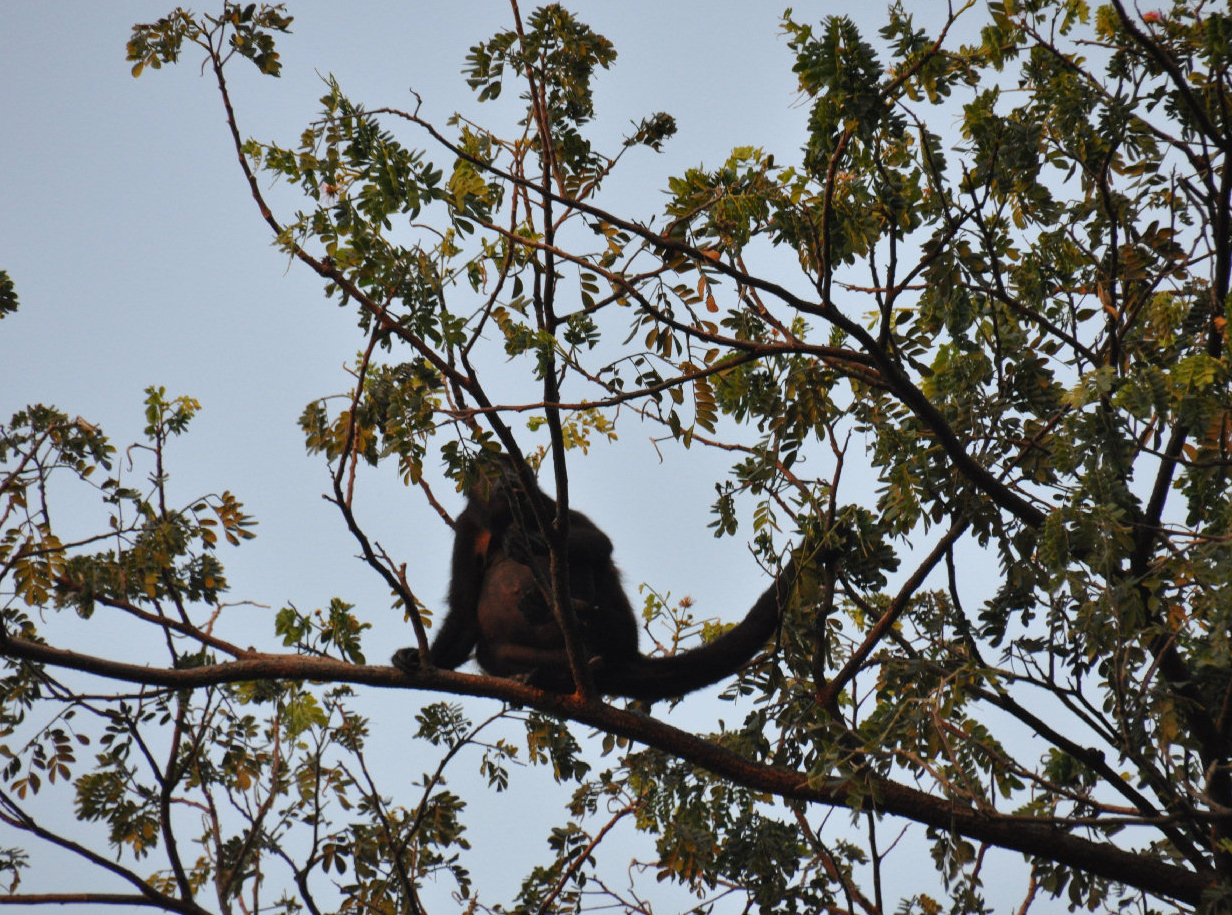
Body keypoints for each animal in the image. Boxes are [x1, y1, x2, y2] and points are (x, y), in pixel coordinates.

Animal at [394, 455, 798, 699]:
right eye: (493, 469)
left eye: (516, 469)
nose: (509, 478)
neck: (502, 518)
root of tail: (626, 655)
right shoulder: (469, 526)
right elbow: (464, 613)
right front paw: (420, 659)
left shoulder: (542, 503)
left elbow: (598, 542)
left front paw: (523, 540)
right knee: (490, 653)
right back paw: (553, 676)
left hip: (617, 628)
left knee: (583, 565)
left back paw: (568, 618)